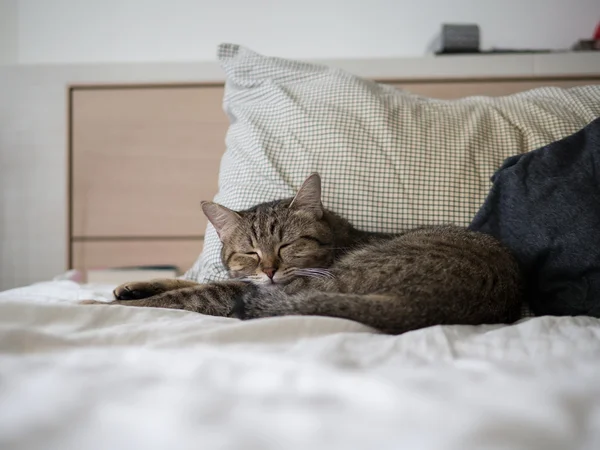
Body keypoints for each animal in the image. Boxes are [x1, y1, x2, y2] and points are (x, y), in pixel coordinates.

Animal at [82, 174, 524, 336]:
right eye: (250, 252)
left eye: (287, 246)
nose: (270, 270)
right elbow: (189, 279)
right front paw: (129, 286)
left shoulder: (238, 290)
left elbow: (184, 295)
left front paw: (97, 303)